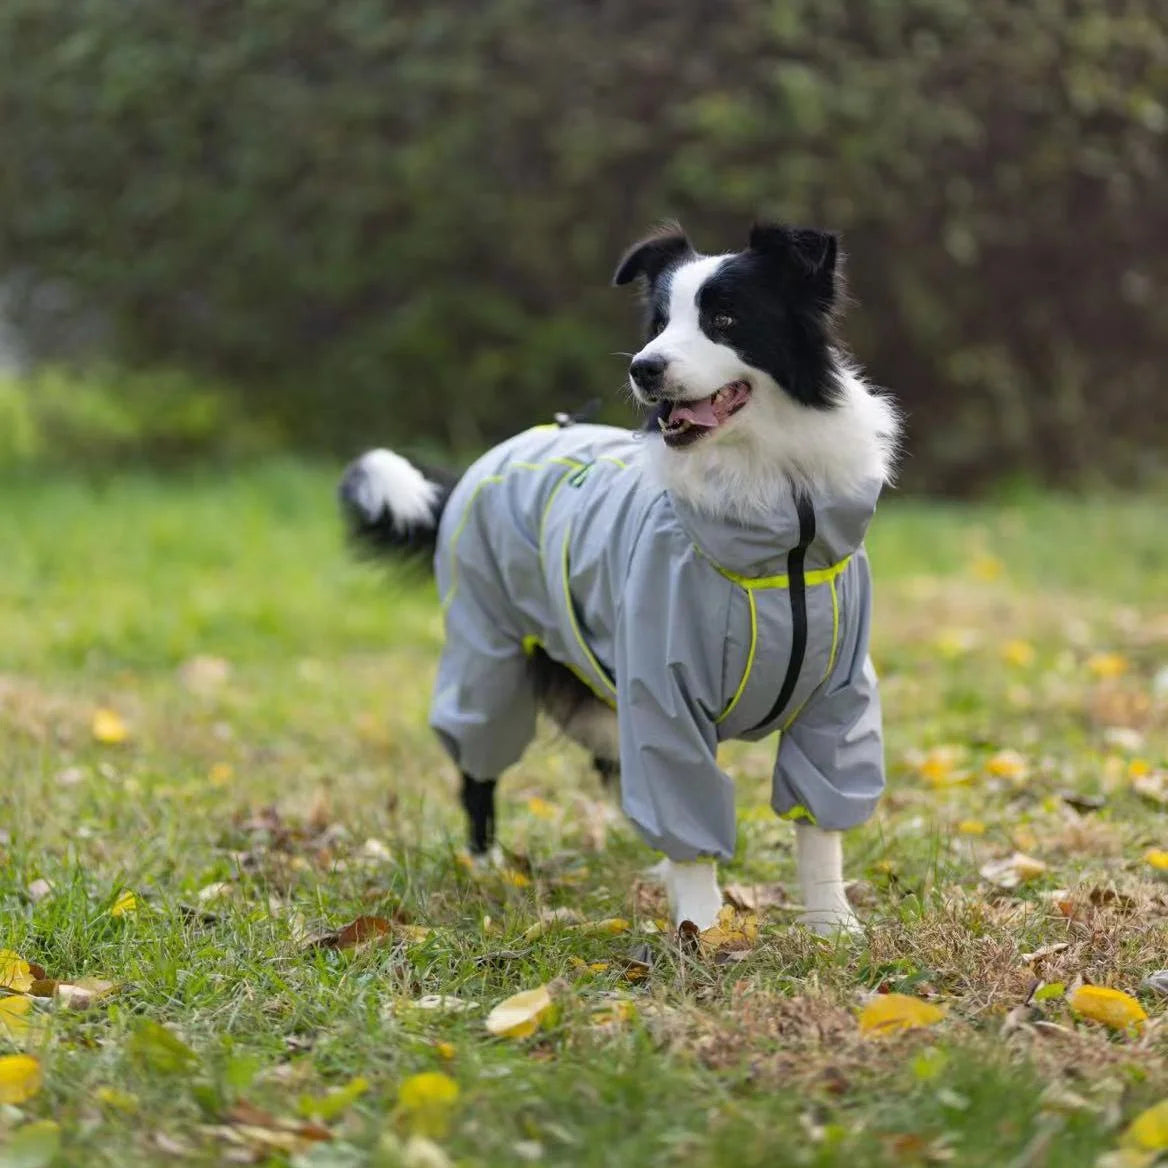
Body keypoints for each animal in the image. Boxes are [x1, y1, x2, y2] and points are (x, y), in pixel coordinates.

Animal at [341, 223, 897, 934]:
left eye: (724, 319)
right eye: (658, 324)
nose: (643, 368)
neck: (780, 519)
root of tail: (489, 459)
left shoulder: (837, 698)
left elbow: (820, 826)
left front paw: (833, 927)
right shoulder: (660, 691)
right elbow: (683, 807)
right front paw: (701, 931)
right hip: (490, 657)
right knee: (478, 764)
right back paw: (484, 865)